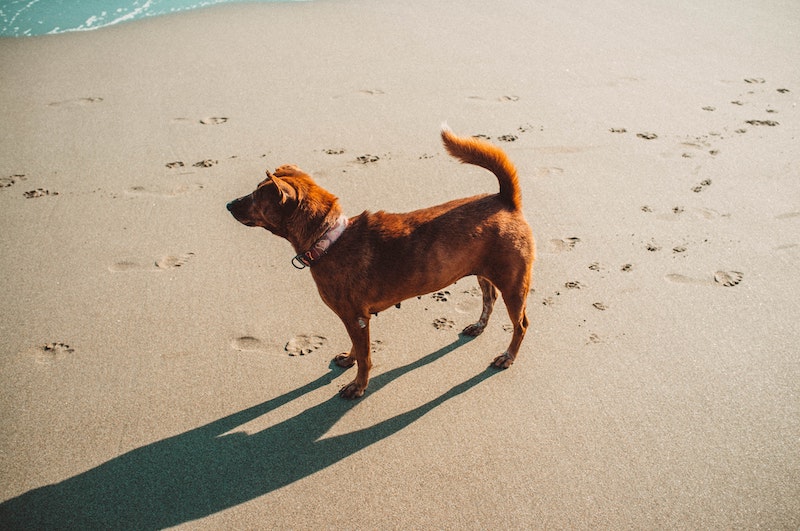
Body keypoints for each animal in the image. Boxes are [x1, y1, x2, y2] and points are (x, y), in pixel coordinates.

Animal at [228, 127, 536, 396]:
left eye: (255, 196)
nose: (229, 204)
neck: (330, 238)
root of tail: (505, 199)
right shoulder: (356, 319)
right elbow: (357, 349)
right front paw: (348, 359)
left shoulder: (356, 318)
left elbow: (365, 357)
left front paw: (357, 386)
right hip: (484, 272)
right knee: (488, 299)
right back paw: (478, 326)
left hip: (513, 284)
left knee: (521, 324)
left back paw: (508, 356)